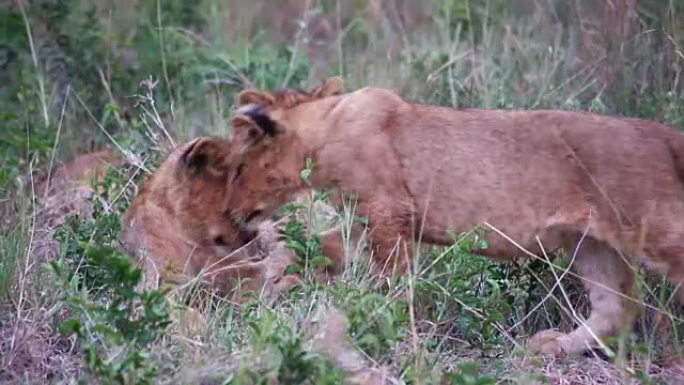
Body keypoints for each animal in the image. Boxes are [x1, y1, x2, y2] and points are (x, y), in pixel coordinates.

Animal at [219, 76, 684, 356]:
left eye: (236, 169)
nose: (229, 213)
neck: (323, 129)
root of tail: (665, 134)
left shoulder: (387, 212)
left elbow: (394, 284)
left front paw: (391, 327)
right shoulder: (366, 221)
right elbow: (315, 248)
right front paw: (269, 277)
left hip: (657, 227)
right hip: (591, 243)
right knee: (613, 310)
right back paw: (552, 347)